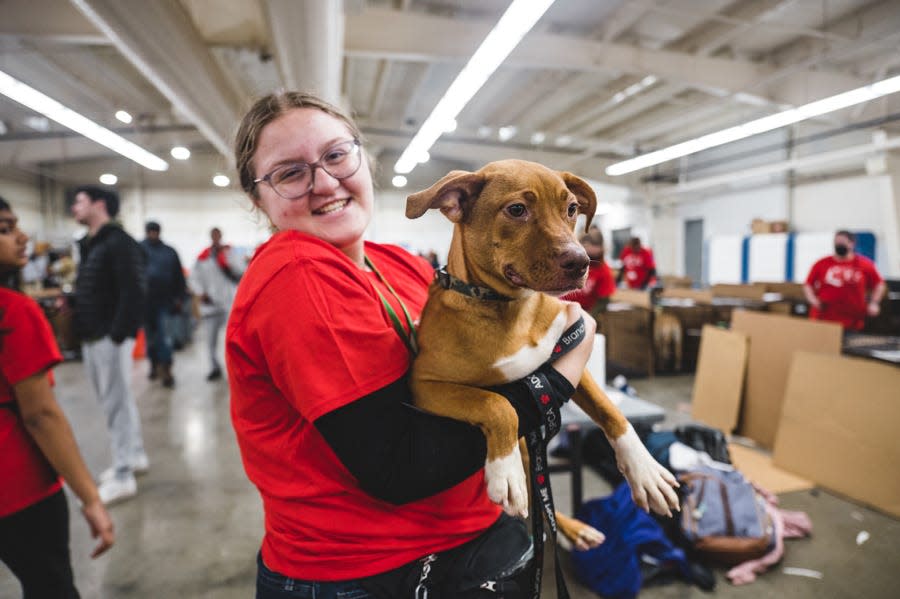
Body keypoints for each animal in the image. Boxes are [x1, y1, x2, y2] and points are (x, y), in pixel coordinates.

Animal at [404, 158, 680, 548]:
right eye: (517, 210)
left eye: (572, 209)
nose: (582, 262)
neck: (510, 308)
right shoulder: (425, 384)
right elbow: (497, 404)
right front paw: (503, 471)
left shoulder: (569, 350)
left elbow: (610, 410)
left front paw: (645, 470)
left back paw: (575, 527)